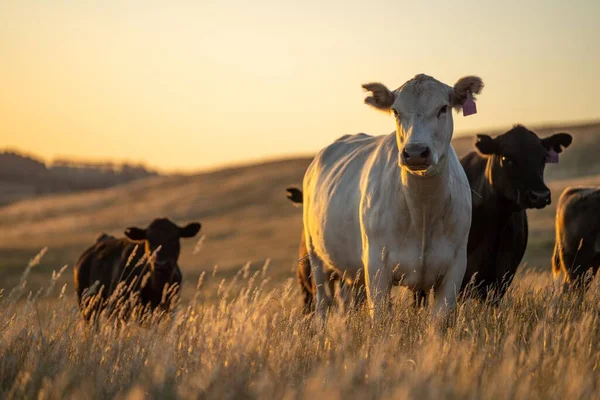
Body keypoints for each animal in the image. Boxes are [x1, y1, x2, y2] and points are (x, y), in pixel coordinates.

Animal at [304, 73, 482, 320]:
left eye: (443, 108)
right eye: (396, 111)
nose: (415, 152)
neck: (423, 210)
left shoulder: (454, 269)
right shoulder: (376, 267)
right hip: (317, 259)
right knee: (322, 305)